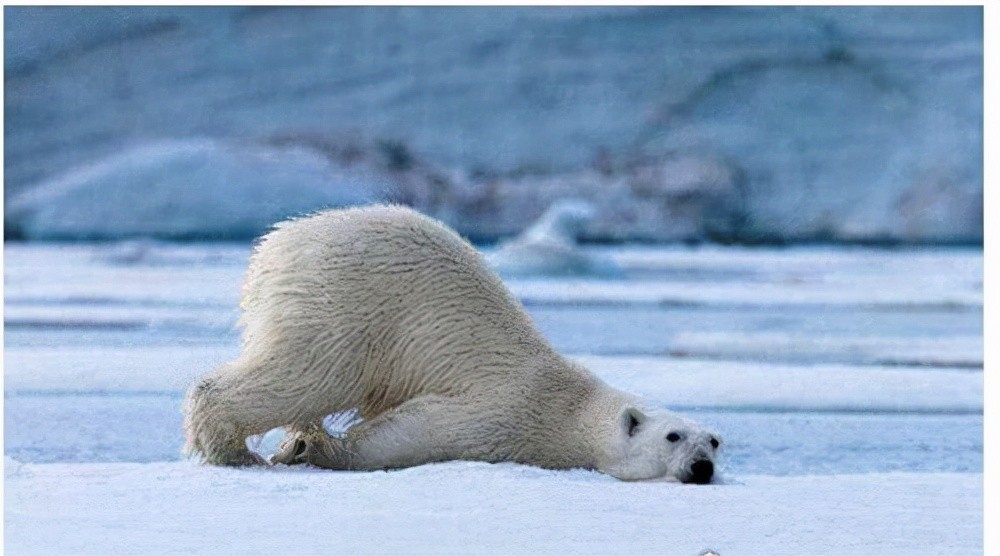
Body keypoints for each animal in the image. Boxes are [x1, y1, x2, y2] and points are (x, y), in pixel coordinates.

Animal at [182, 204, 720, 482]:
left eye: (715, 440)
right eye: (673, 436)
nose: (702, 467)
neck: (569, 404)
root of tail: (276, 244)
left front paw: (303, 446)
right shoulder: (504, 412)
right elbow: (412, 433)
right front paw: (319, 451)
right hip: (342, 306)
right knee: (309, 375)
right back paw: (233, 450)